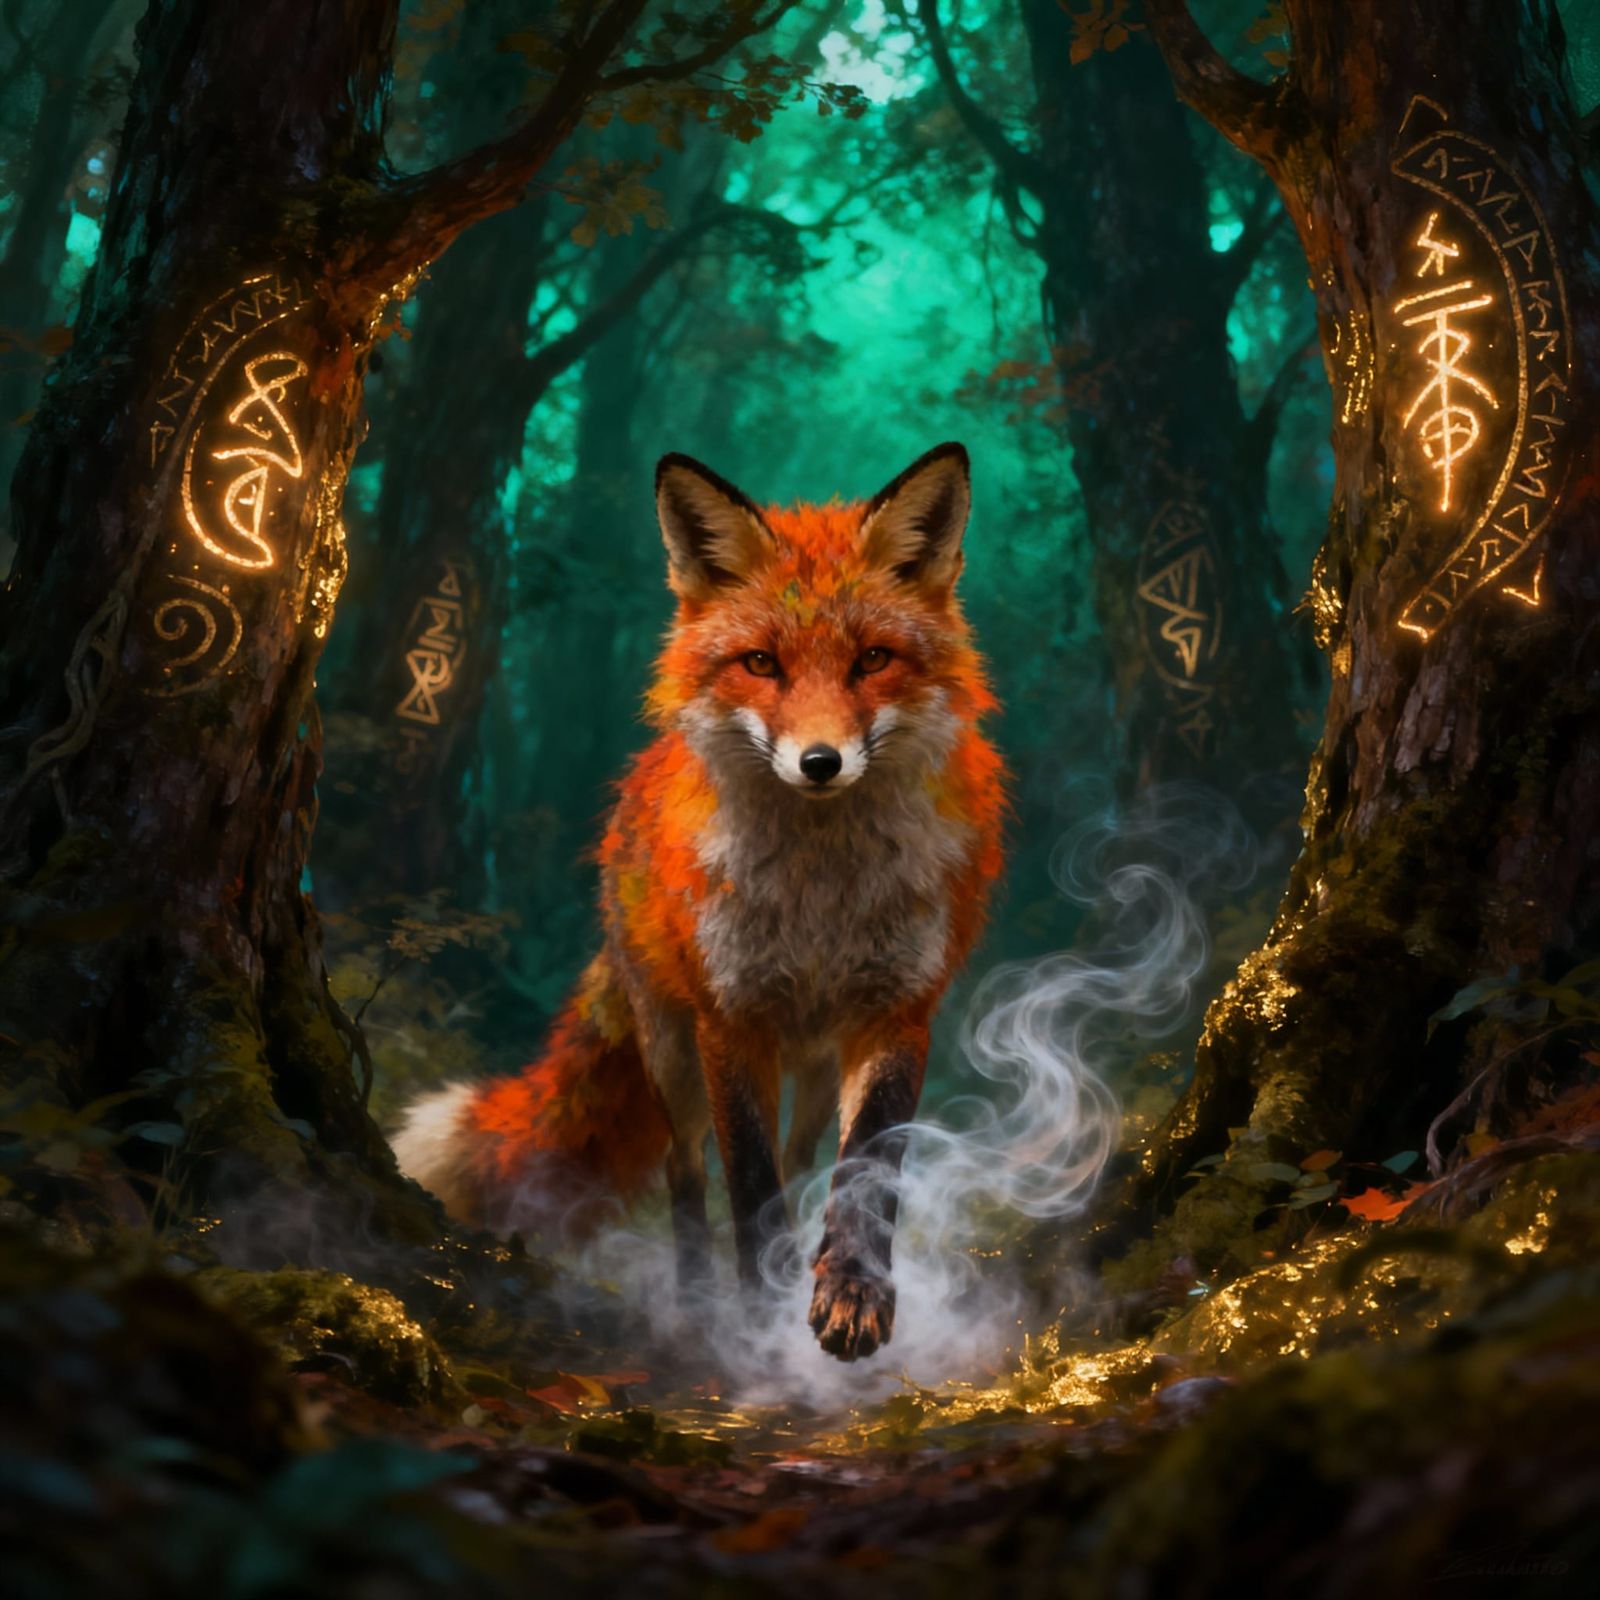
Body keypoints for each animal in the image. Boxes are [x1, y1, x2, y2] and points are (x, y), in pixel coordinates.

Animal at [393, 442, 1006, 1361]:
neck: (820, 899)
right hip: (671, 1048)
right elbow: (747, 1189)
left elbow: (867, 1172)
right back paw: (693, 1302)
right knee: (686, 1174)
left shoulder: (897, 1012)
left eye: (871, 660)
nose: (819, 762)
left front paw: (852, 1292)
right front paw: (752, 1322)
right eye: (761, 664)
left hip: (814, 1062)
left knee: (803, 1161)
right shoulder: (731, 1018)